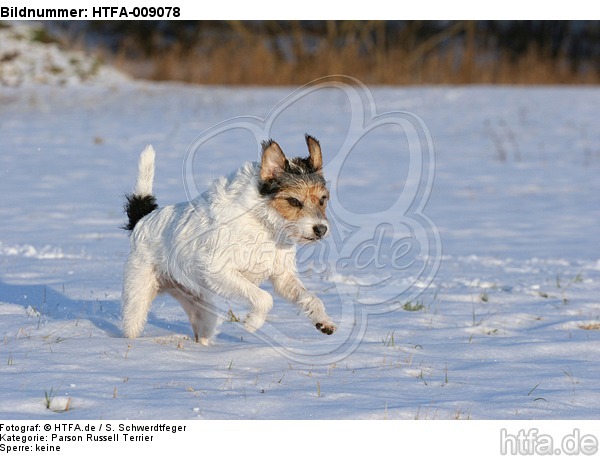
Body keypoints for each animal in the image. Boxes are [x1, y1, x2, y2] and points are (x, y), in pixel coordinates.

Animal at [120, 135, 338, 346]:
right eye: (293, 201)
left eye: (322, 199)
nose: (321, 229)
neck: (264, 223)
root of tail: (143, 219)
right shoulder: (220, 270)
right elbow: (264, 298)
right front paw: (253, 322)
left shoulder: (282, 277)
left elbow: (310, 297)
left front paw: (323, 321)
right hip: (137, 300)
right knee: (132, 324)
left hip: (203, 310)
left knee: (202, 334)